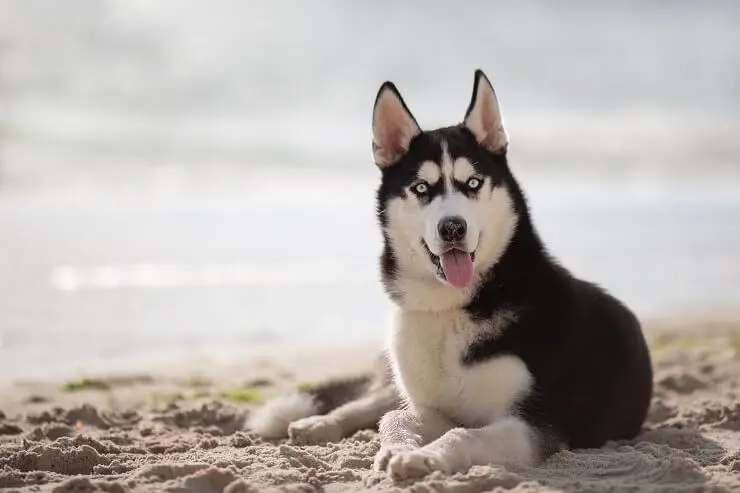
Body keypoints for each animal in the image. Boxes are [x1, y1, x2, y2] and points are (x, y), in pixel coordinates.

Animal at [250, 69, 652, 480]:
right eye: (421, 188)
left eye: (473, 183)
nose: (453, 228)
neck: (450, 308)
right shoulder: (433, 408)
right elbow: (395, 417)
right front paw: (396, 448)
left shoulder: (535, 426)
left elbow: (461, 434)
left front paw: (422, 457)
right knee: (376, 400)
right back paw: (319, 423)